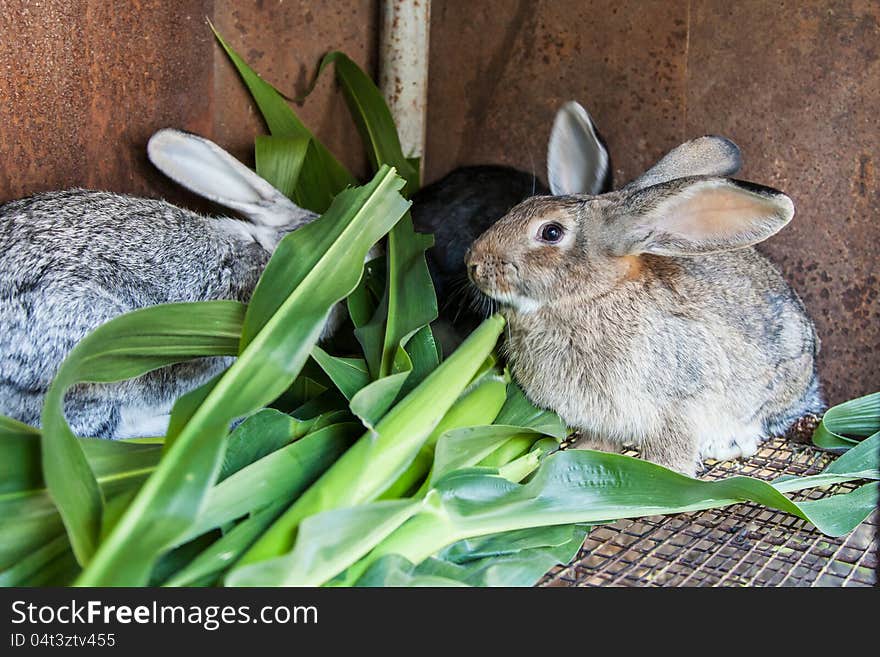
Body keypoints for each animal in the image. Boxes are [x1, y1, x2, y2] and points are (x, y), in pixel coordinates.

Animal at [470, 136, 820, 474]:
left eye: (551, 232)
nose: (473, 263)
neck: (593, 294)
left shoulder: (678, 406)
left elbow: (671, 451)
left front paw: (662, 474)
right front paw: (583, 453)